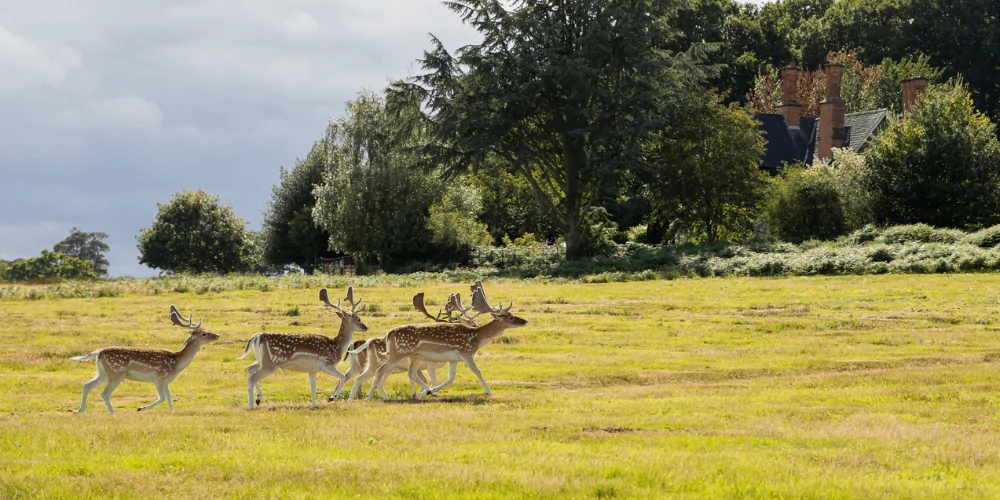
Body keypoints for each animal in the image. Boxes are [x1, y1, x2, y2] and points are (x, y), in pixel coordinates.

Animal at [73, 304, 222, 414]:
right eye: (204, 334)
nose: (217, 335)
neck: (177, 363)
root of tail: (98, 352)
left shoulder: (166, 381)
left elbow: (169, 398)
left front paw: (172, 412)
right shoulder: (159, 377)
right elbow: (162, 398)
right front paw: (141, 408)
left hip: (103, 373)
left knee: (87, 385)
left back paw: (79, 410)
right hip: (116, 373)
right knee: (104, 393)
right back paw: (112, 412)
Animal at [238, 288, 368, 408]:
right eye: (358, 319)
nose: (365, 327)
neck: (336, 346)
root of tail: (257, 337)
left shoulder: (312, 369)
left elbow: (313, 387)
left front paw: (314, 405)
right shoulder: (327, 364)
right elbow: (342, 376)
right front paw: (332, 397)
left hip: (262, 360)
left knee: (250, 368)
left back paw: (258, 399)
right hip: (270, 363)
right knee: (252, 378)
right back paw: (252, 405)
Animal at [366, 284, 524, 400]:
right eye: (510, 317)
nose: (525, 321)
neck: (477, 338)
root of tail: (388, 334)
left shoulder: (454, 359)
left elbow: (451, 377)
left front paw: (433, 390)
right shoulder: (466, 352)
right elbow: (478, 372)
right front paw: (490, 392)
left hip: (413, 356)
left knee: (411, 374)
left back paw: (425, 391)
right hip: (398, 353)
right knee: (380, 370)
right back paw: (370, 397)